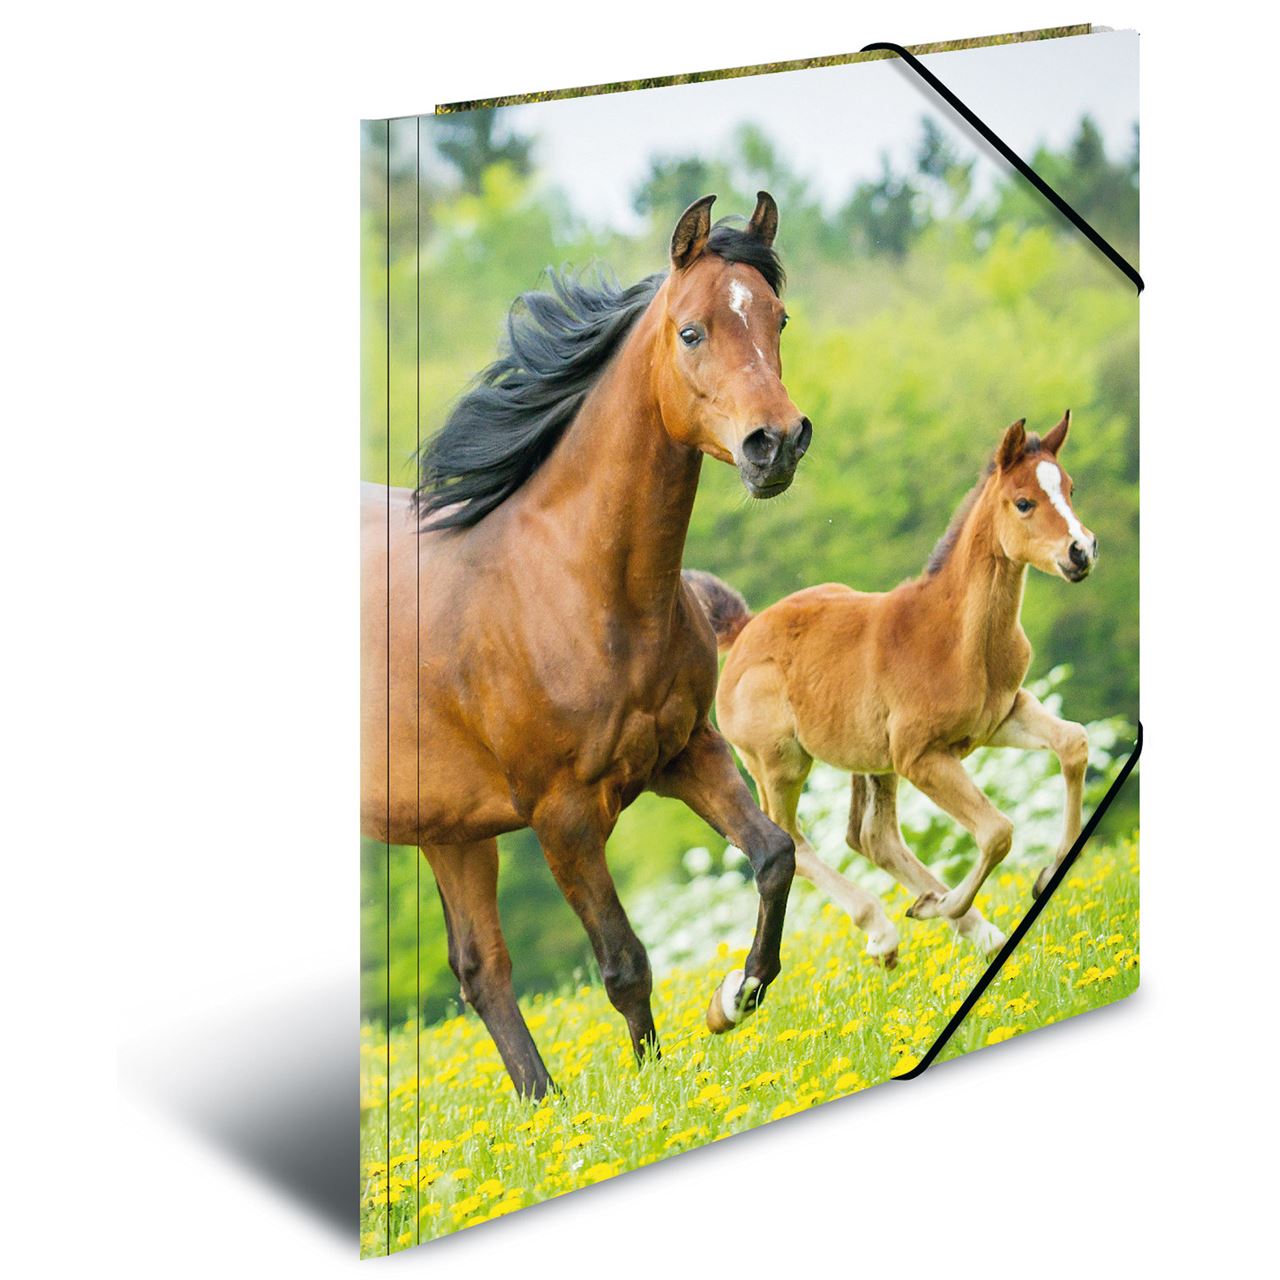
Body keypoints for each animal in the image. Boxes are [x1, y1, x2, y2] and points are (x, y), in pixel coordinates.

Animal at [362, 193, 814, 1097]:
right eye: (692, 331)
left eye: (777, 316)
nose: (776, 444)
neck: (574, 587)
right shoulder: (562, 816)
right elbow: (624, 962)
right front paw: (653, 1090)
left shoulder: (687, 752)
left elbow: (775, 855)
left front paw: (735, 996)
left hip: (448, 830)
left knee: (481, 970)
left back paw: (544, 1107)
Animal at [689, 412, 1096, 965]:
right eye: (1024, 502)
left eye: (1070, 488)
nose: (1082, 551)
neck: (957, 637)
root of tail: (745, 630)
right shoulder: (919, 756)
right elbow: (997, 831)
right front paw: (944, 905)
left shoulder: (1003, 715)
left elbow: (1074, 744)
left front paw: (1044, 875)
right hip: (779, 763)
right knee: (792, 839)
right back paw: (886, 929)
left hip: (870, 759)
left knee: (870, 837)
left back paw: (973, 928)